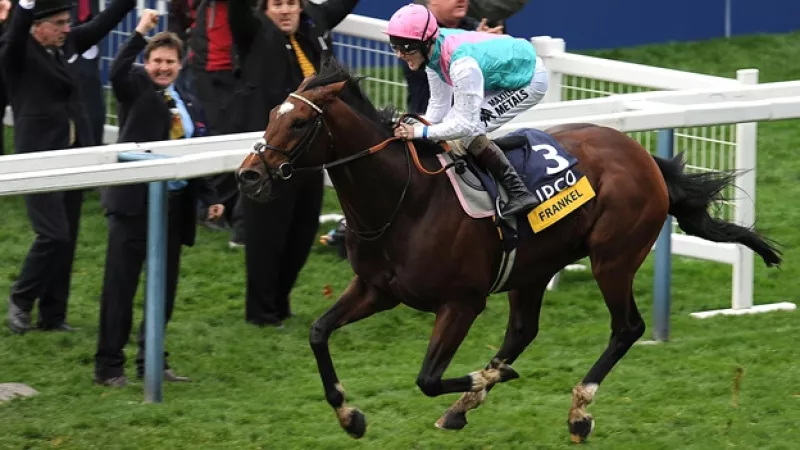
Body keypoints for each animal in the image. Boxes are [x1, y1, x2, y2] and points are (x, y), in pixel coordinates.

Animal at [235, 58, 781, 443]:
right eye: (272, 115)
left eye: (300, 124)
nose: (248, 175)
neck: (405, 199)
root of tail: (643, 155)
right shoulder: (376, 288)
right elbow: (318, 332)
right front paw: (350, 415)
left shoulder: (461, 303)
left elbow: (428, 377)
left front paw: (479, 381)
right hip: (532, 268)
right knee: (523, 330)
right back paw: (470, 402)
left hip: (614, 256)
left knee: (627, 328)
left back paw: (578, 410)